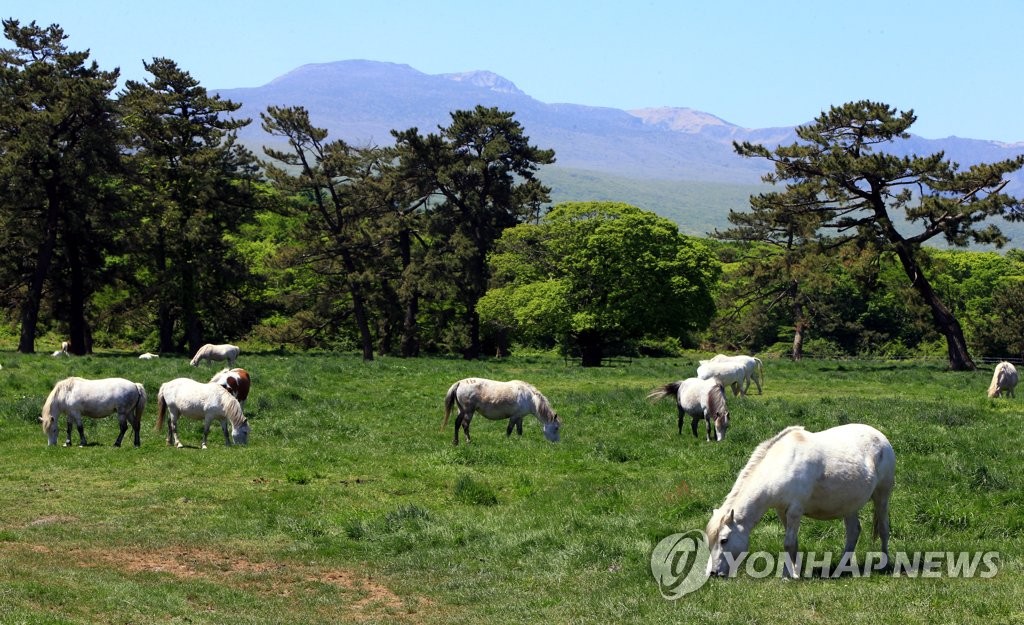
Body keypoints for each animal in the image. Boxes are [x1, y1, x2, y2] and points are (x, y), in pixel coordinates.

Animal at [708, 420, 892, 577]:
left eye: (724, 540)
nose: (713, 573)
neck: (781, 465)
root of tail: (881, 437)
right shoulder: (782, 511)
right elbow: (793, 542)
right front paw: (793, 570)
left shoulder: (795, 510)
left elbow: (788, 543)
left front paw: (790, 575)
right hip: (849, 505)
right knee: (853, 532)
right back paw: (840, 568)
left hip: (882, 495)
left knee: (883, 529)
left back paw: (885, 564)